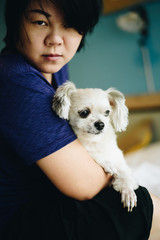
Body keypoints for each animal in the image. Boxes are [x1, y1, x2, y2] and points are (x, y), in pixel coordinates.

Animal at [52, 81, 138, 211]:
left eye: (107, 112)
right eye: (84, 112)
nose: (101, 124)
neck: (95, 142)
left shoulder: (119, 160)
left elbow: (124, 174)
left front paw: (128, 192)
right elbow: (93, 154)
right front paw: (108, 163)